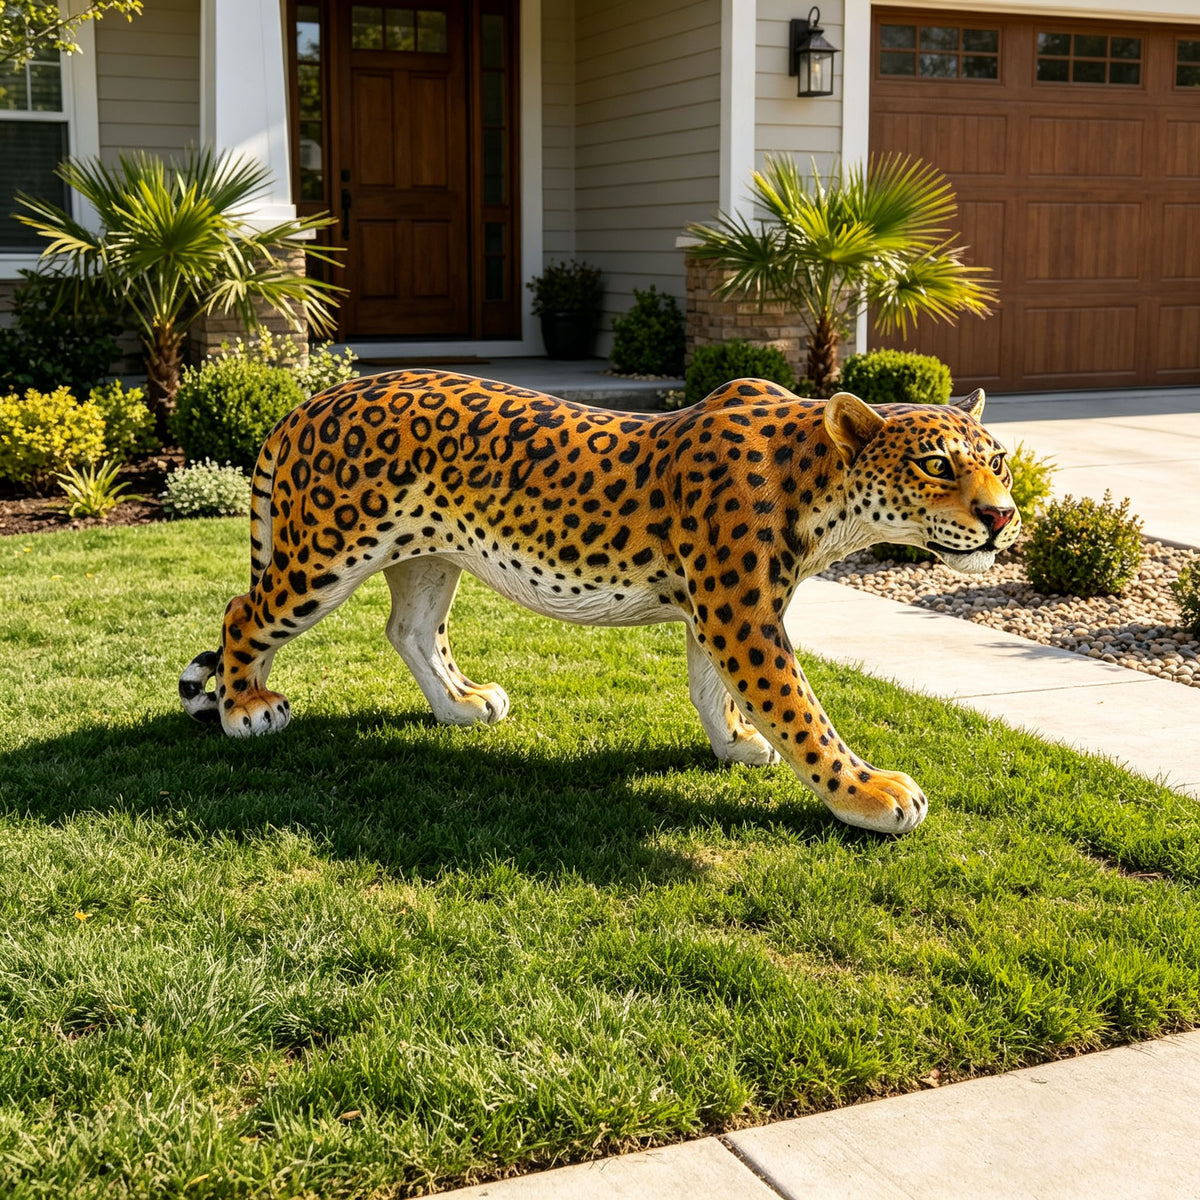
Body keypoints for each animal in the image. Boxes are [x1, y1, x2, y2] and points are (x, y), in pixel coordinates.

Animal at [179, 370, 1020, 834]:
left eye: (1001, 462)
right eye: (937, 464)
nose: (1003, 515)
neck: (823, 491)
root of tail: (310, 401)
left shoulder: (721, 609)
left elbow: (714, 687)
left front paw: (734, 741)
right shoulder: (740, 610)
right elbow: (801, 711)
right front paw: (869, 793)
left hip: (427, 553)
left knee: (409, 628)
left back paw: (461, 704)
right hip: (324, 556)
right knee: (243, 613)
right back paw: (245, 707)